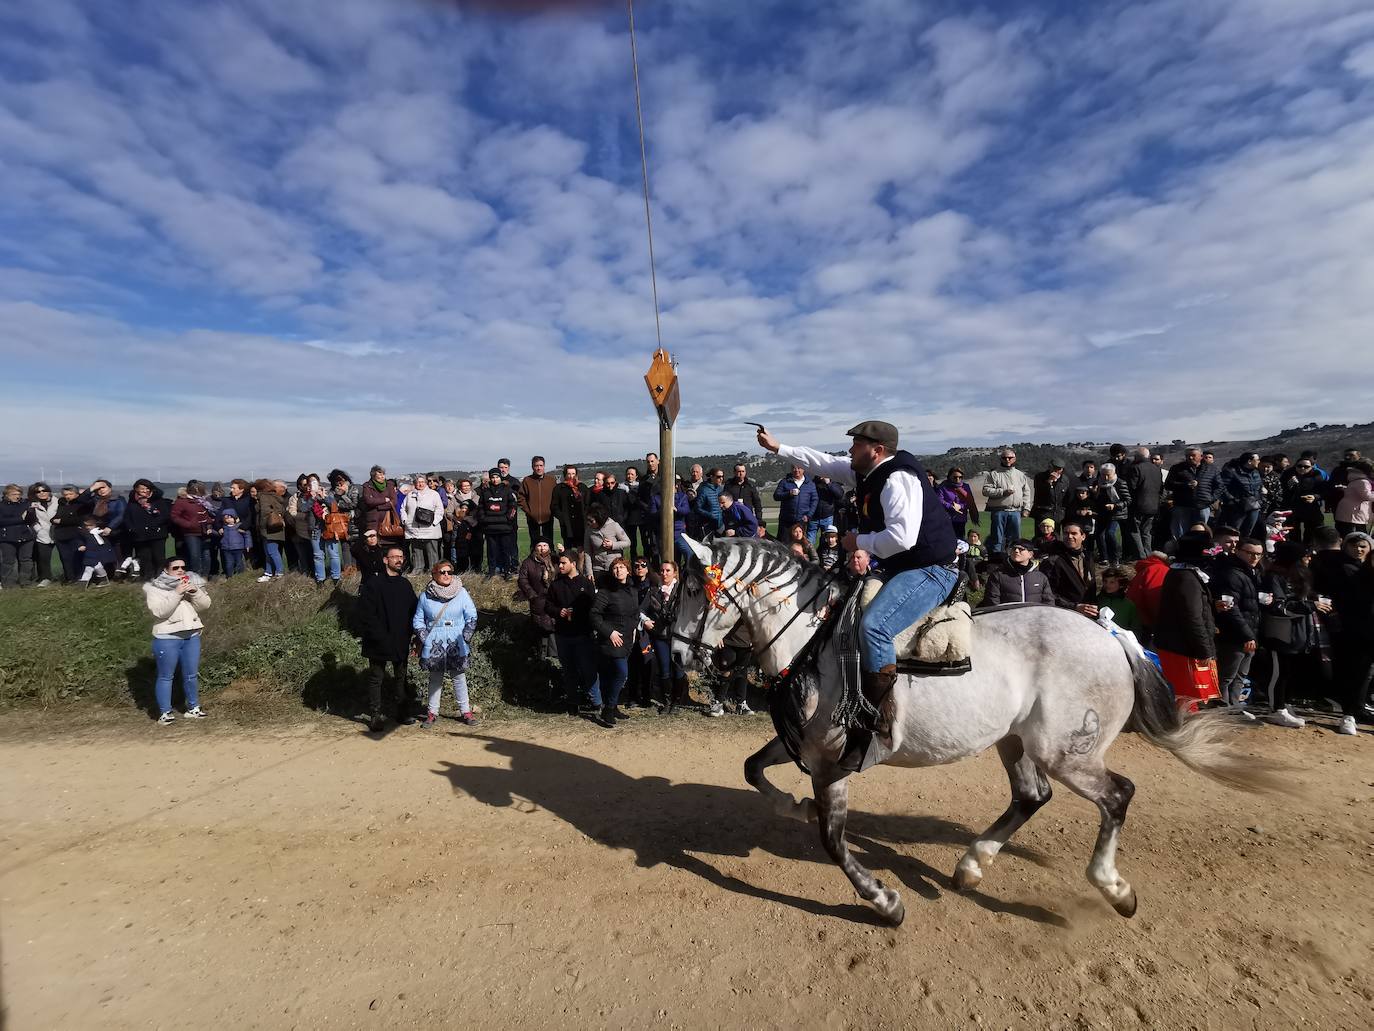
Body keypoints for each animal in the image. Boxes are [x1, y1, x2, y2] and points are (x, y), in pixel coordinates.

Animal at [670, 536, 1269, 934]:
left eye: (695, 590)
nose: (676, 655)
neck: (815, 638)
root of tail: (1111, 634)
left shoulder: (831, 763)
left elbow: (834, 840)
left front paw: (885, 902)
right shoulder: (806, 749)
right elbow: (752, 768)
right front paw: (790, 807)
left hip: (1066, 752)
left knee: (1116, 795)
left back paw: (1114, 888)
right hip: (1014, 740)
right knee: (1031, 796)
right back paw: (971, 865)